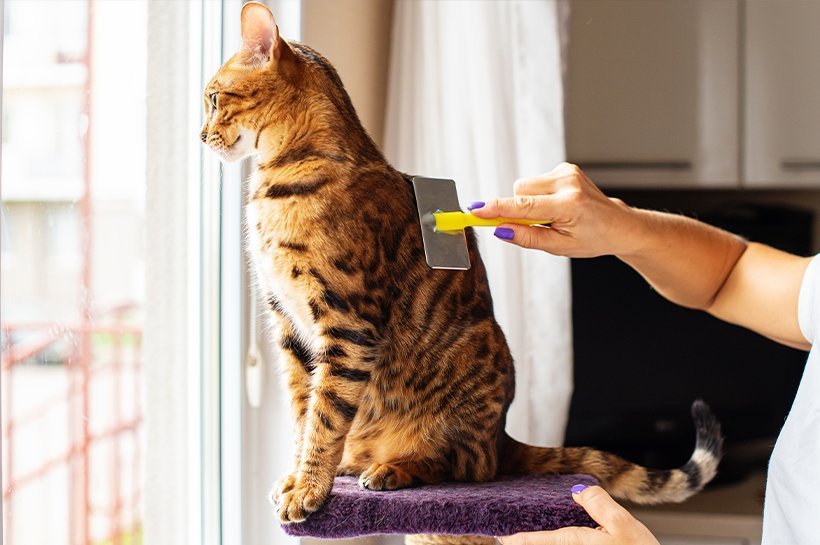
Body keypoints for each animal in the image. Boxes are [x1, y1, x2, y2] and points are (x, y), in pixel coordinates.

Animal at [200, 2, 724, 524]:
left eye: (213, 97)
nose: (201, 137)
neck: (278, 182)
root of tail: (503, 435)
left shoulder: (347, 323)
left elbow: (325, 414)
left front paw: (308, 487)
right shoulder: (287, 324)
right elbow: (301, 410)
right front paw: (296, 476)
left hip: (468, 378)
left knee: (467, 465)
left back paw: (394, 468)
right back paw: (359, 460)